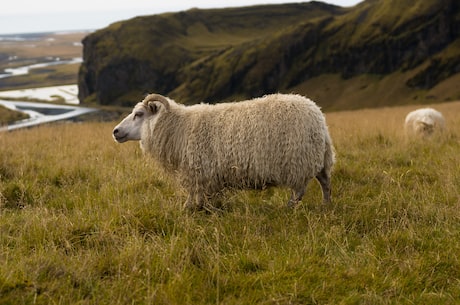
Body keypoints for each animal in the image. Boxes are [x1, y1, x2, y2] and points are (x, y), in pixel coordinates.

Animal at [111, 92, 334, 209]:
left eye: (139, 114)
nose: (115, 131)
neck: (178, 127)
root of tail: (318, 115)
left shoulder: (199, 171)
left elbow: (194, 195)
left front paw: (189, 210)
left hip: (297, 162)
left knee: (299, 191)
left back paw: (288, 208)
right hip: (318, 160)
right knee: (325, 183)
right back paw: (326, 206)